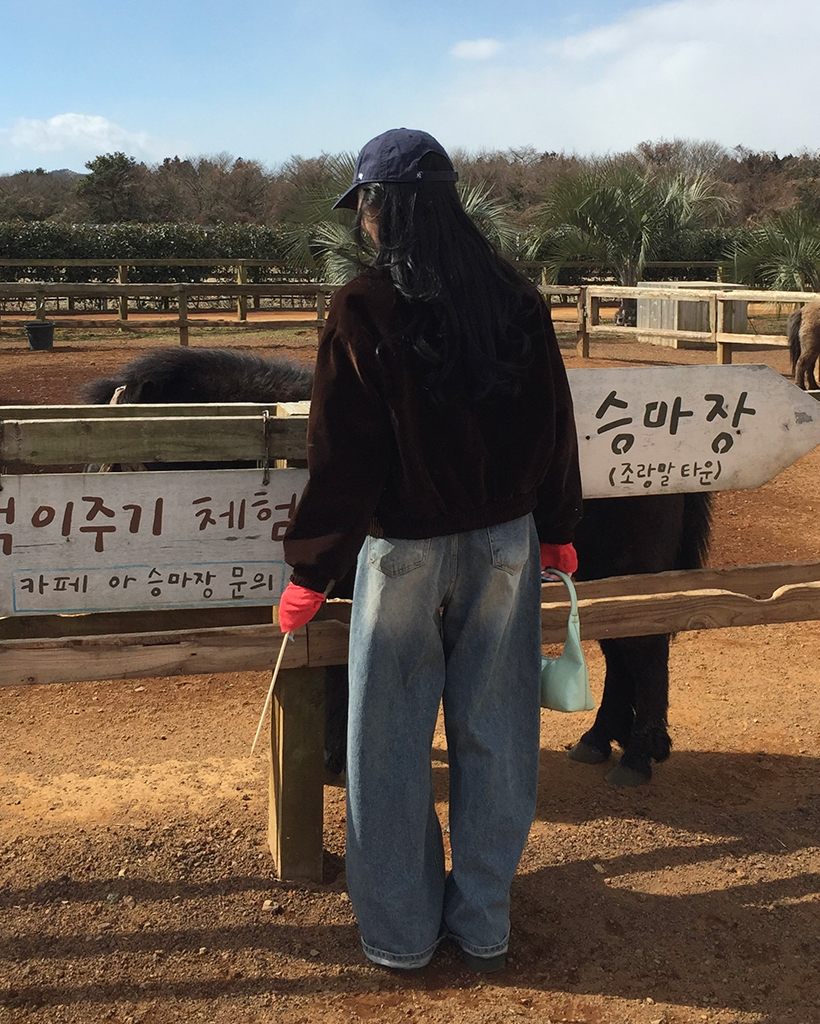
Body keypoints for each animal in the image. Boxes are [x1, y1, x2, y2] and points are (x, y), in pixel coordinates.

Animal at [80, 346, 713, 786]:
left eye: (120, 461)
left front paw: (336, 758)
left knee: (646, 654)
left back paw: (637, 754)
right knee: (624, 656)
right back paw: (602, 739)